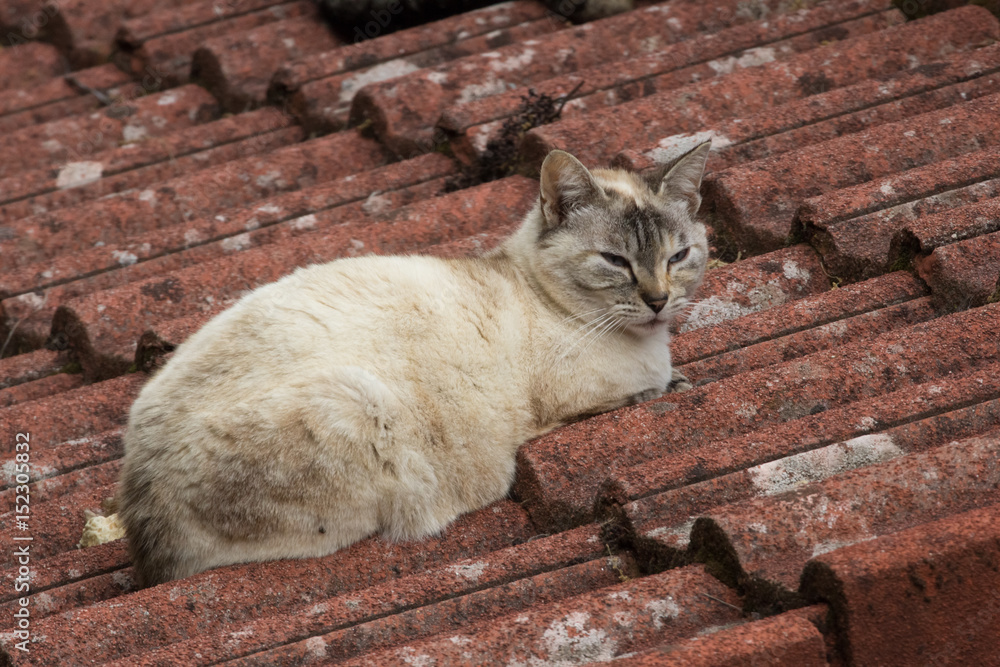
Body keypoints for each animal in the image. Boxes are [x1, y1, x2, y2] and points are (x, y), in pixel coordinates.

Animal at [115, 144, 712, 588]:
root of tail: (140, 507)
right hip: (360, 405)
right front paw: (669, 384)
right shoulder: (569, 407)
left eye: (678, 256)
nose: (658, 300)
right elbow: (650, 391)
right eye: (614, 261)